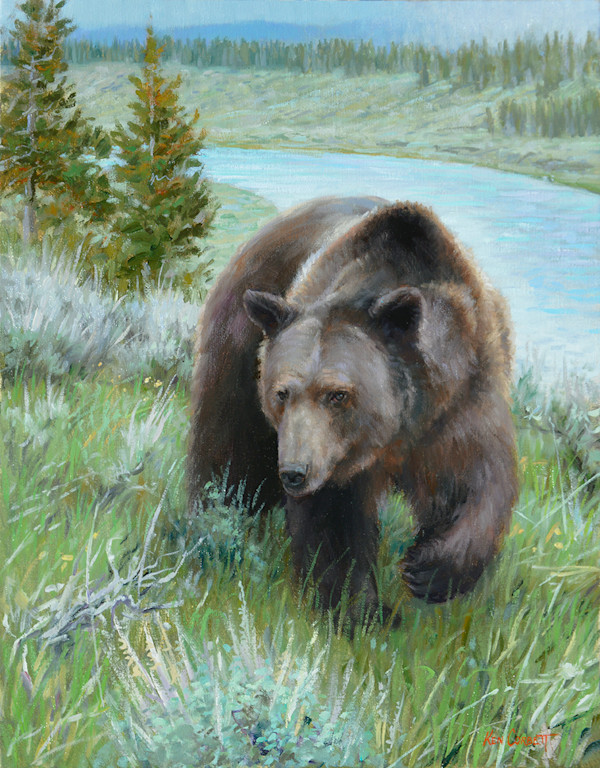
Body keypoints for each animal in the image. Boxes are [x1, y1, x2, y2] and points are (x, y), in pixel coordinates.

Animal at [188, 196, 518, 620]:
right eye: (282, 393)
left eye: (338, 394)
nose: (294, 472)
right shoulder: (334, 458)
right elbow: (334, 524)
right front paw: (361, 612)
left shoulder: (460, 398)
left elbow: (474, 481)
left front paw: (429, 569)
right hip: (237, 346)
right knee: (227, 447)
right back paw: (213, 522)